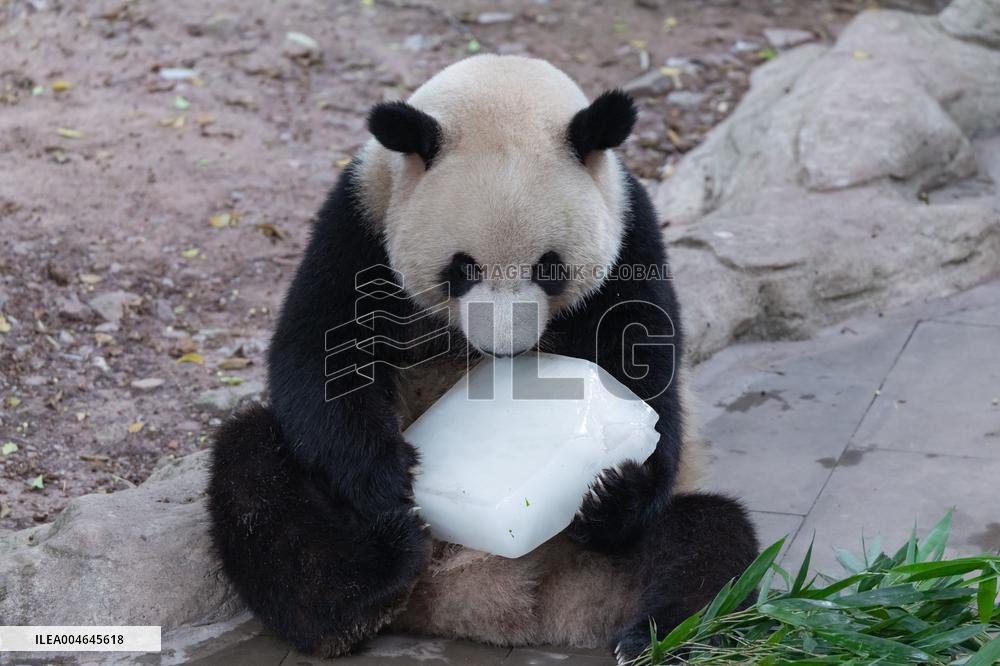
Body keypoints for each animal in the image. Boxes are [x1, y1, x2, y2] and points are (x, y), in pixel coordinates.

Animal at [208, 55, 759, 663]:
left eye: (550, 267)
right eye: (462, 268)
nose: (505, 348)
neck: (501, 91)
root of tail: (496, 597)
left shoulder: (630, 234)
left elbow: (646, 369)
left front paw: (614, 488)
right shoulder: (359, 220)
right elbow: (322, 356)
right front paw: (393, 477)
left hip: (613, 561)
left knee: (710, 540)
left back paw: (653, 632)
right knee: (256, 477)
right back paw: (369, 585)